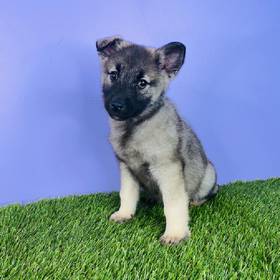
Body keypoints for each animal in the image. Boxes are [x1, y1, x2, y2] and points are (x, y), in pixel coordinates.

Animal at [96, 36, 219, 244]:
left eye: (142, 83)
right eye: (113, 74)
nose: (116, 106)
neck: (136, 124)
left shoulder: (168, 169)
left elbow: (173, 204)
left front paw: (175, 233)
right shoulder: (127, 168)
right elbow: (126, 194)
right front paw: (124, 214)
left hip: (209, 173)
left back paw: (194, 201)